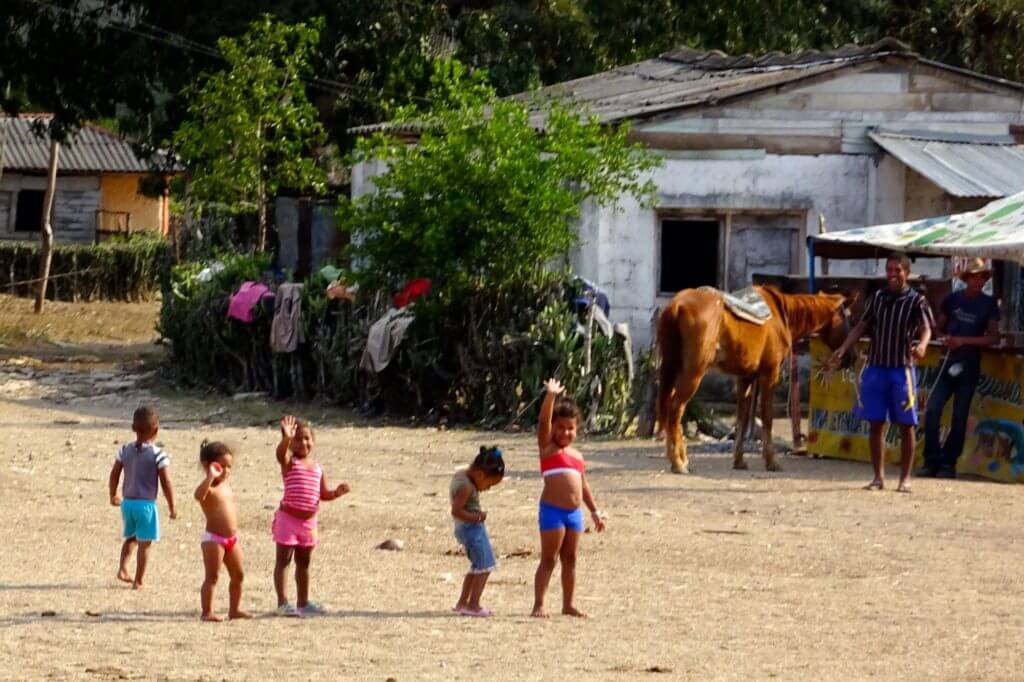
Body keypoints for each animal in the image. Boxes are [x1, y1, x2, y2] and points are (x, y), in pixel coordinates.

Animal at [659, 284, 851, 473]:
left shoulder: (745, 377)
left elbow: (742, 418)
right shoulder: (769, 374)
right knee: (676, 408)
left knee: (670, 407)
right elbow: (767, 417)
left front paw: (739, 460)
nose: (850, 356)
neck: (782, 314)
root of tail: (678, 305)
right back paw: (678, 462)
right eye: (846, 318)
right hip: (694, 373)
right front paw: (771, 461)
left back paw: (679, 458)